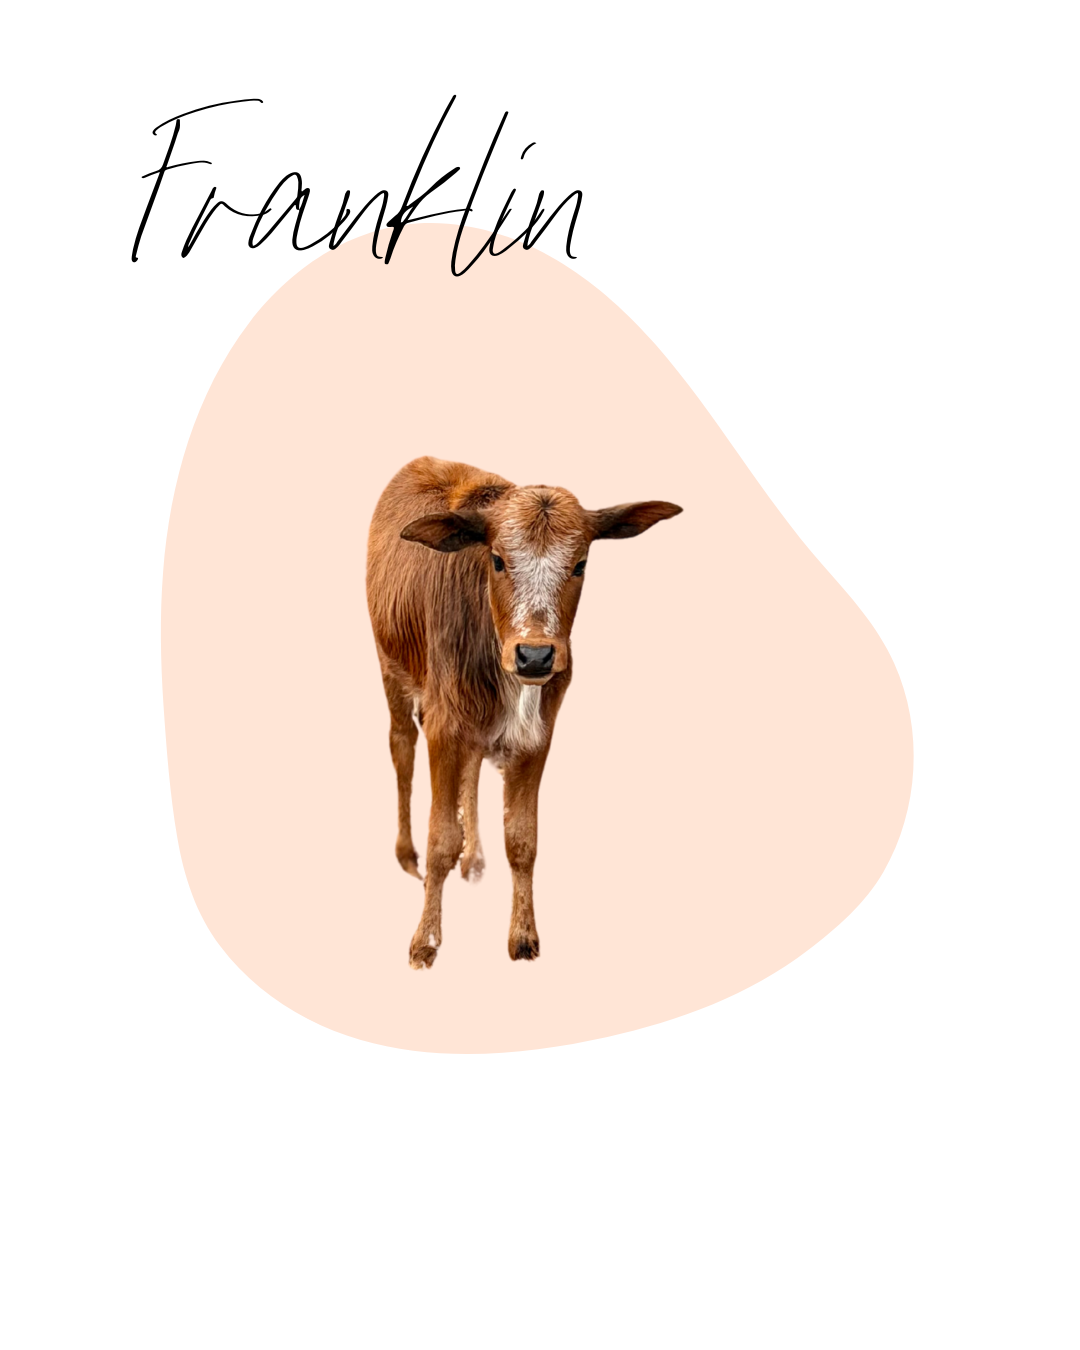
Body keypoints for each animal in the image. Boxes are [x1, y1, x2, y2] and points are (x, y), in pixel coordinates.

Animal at [366, 456, 682, 968]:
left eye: (580, 564)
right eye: (497, 559)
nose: (535, 656)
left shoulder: (538, 736)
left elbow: (522, 839)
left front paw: (523, 937)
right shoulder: (443, 725)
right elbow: (440, 839)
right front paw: (425, 940)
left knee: (472, 770)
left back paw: (473, 860)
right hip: (390, 667)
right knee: (400, 748)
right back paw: (406, 855)